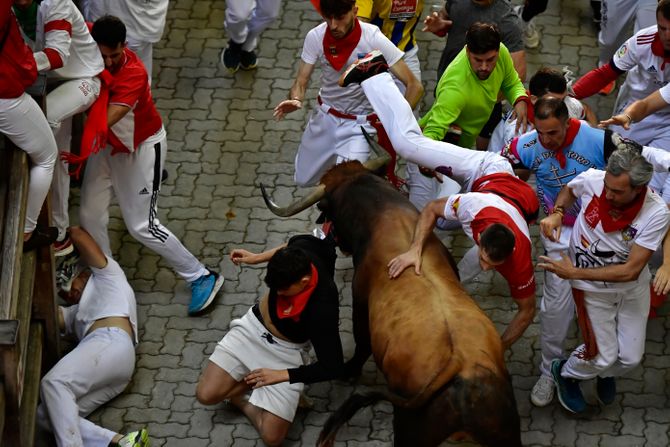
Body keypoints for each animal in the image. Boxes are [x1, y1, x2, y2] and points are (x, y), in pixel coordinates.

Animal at [262, 159, 524, 446]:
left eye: (328, 209)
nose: (336, 241)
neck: (384, 214)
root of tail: (462, 368)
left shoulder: (359, 300)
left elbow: (362, 342)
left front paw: (349, 371)